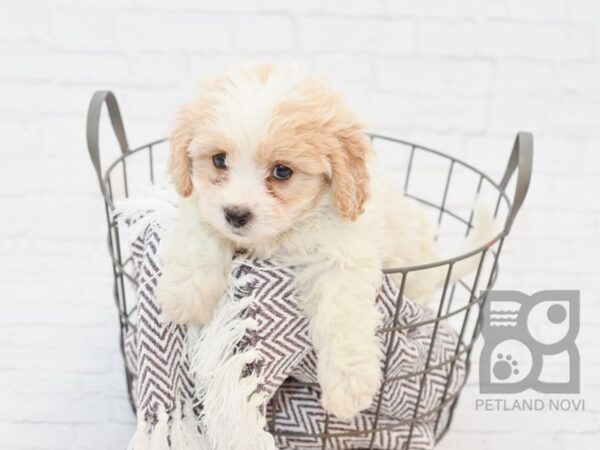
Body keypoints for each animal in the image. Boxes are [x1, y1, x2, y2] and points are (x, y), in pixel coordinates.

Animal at [157, 62, 486, 418]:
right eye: (219, 160)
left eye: (282, 172)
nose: (236, 215)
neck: (281, 233)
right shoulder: (202, 203)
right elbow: (201, 228)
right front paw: (186, 297)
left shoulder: (343, 257)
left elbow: (340, 317)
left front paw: (349, 387)